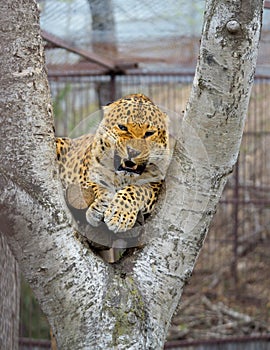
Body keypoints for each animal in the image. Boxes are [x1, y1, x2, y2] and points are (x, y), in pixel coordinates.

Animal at [55, 94, 172, 234]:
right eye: (122, 127)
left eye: (149, 133)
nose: (133, 151)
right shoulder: (83, 178)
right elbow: (95, 185)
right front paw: (102, 203)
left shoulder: (154, 185)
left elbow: (136, 190)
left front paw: (119, 216)